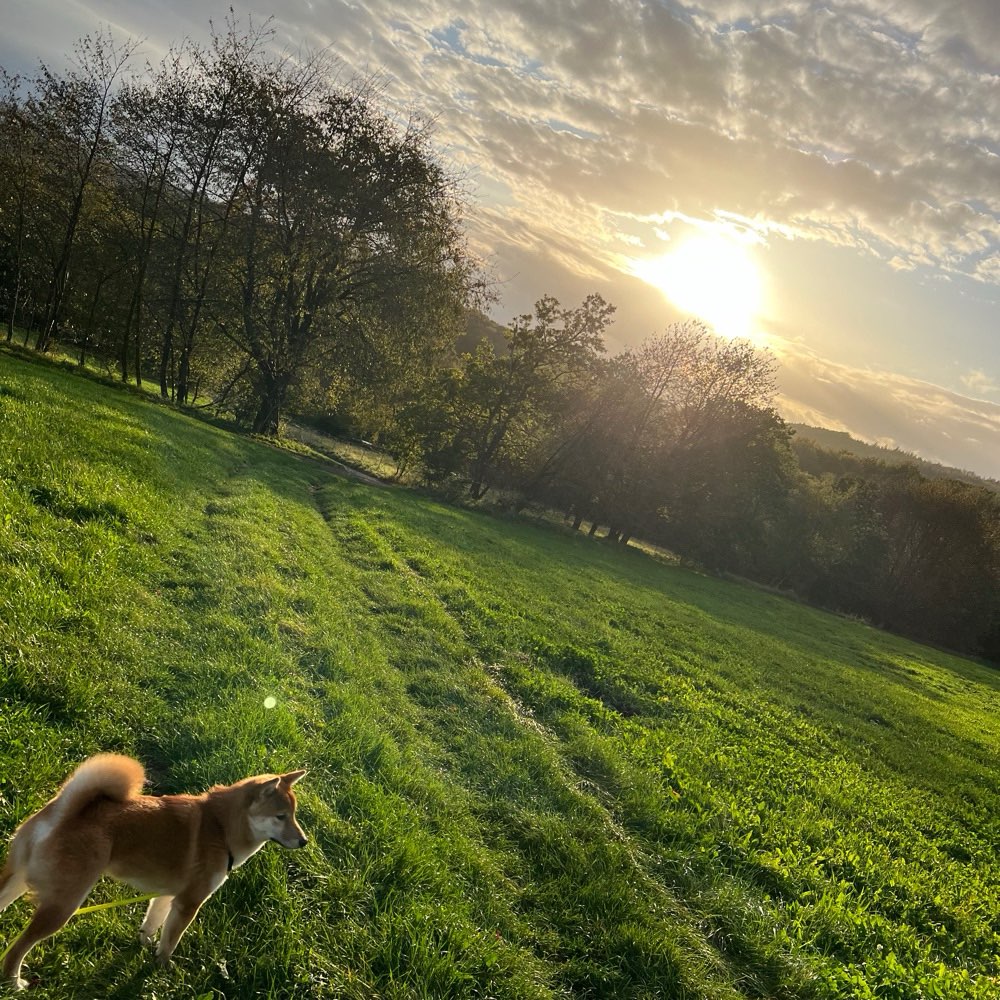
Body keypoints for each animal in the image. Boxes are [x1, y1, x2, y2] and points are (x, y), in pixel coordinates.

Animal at [0, 752, 308, 988]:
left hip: (17, 880)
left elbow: (153, 925)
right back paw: (14, 982)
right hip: (63, 905)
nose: (304, 841)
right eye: (281, 817)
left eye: (294, 815)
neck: (221, 828)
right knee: (18, 949)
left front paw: (146, 947)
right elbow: (171, 940)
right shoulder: (189, 902)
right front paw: (163, 968)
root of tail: (63, 812)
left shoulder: (168, 895)